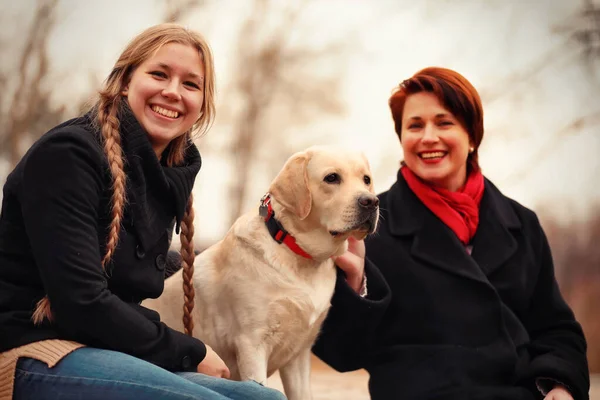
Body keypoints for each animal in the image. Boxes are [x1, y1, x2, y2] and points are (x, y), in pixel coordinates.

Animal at [143, 147, 378, 400]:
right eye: (332, 178)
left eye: (366, 180)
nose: (371, 201)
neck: (298, 254)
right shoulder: (252, 345)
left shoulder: (299, 355)